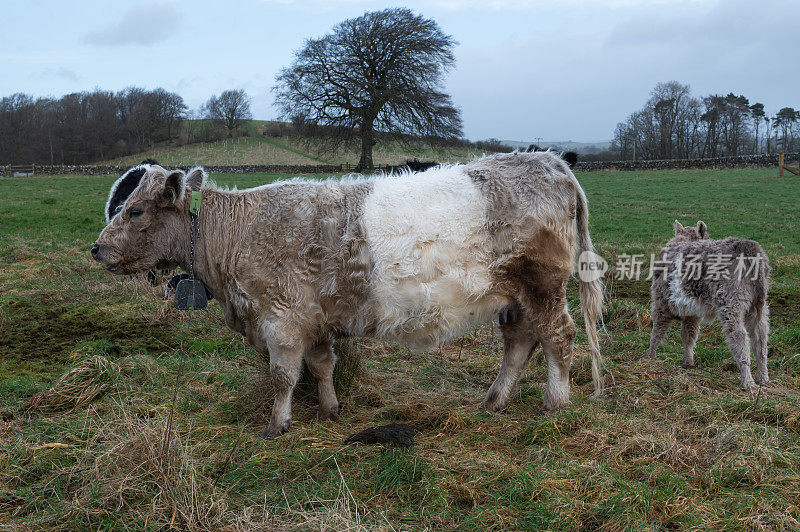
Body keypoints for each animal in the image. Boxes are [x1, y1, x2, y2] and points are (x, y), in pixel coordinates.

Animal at [94, 152, 604, 438]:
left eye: (134, 210)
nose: (97, 248)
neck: (235, 233)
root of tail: (549, 161)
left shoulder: (282, 320)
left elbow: (283, 376)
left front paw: (276, 425)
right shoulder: (314, 320)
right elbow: (322, 366)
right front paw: (330, 410)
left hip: (543, 287)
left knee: (559, 338)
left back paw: (555, 402)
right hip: (513, 297)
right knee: (519, 345)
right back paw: (493, 401)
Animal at [644, 220, 768, 390]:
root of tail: (747, 246)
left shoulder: (660, 303)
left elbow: (657, 332)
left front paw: (649, 357)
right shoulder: (692, 311)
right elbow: (689, 335)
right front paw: (688, 361)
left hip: (730, 304)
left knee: (740, 336)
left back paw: (747, 382)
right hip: (757, 306)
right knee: (760, 339)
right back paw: (762, 377)